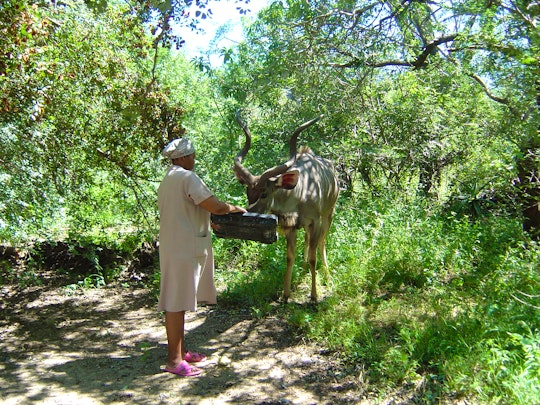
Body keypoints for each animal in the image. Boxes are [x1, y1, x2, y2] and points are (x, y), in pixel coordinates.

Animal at [234, 112, 340, 302]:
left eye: (264, 193)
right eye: (247, 192)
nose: (249, 214)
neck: (300, 192)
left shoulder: (315, 222)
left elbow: (314, 256)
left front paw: (314, 296)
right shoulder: (291, 227)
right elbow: (290, 257)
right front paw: (285, 294)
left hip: (329, 214)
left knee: (321, 242)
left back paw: (327, 275)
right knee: (307, 241)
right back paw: (304, 268)